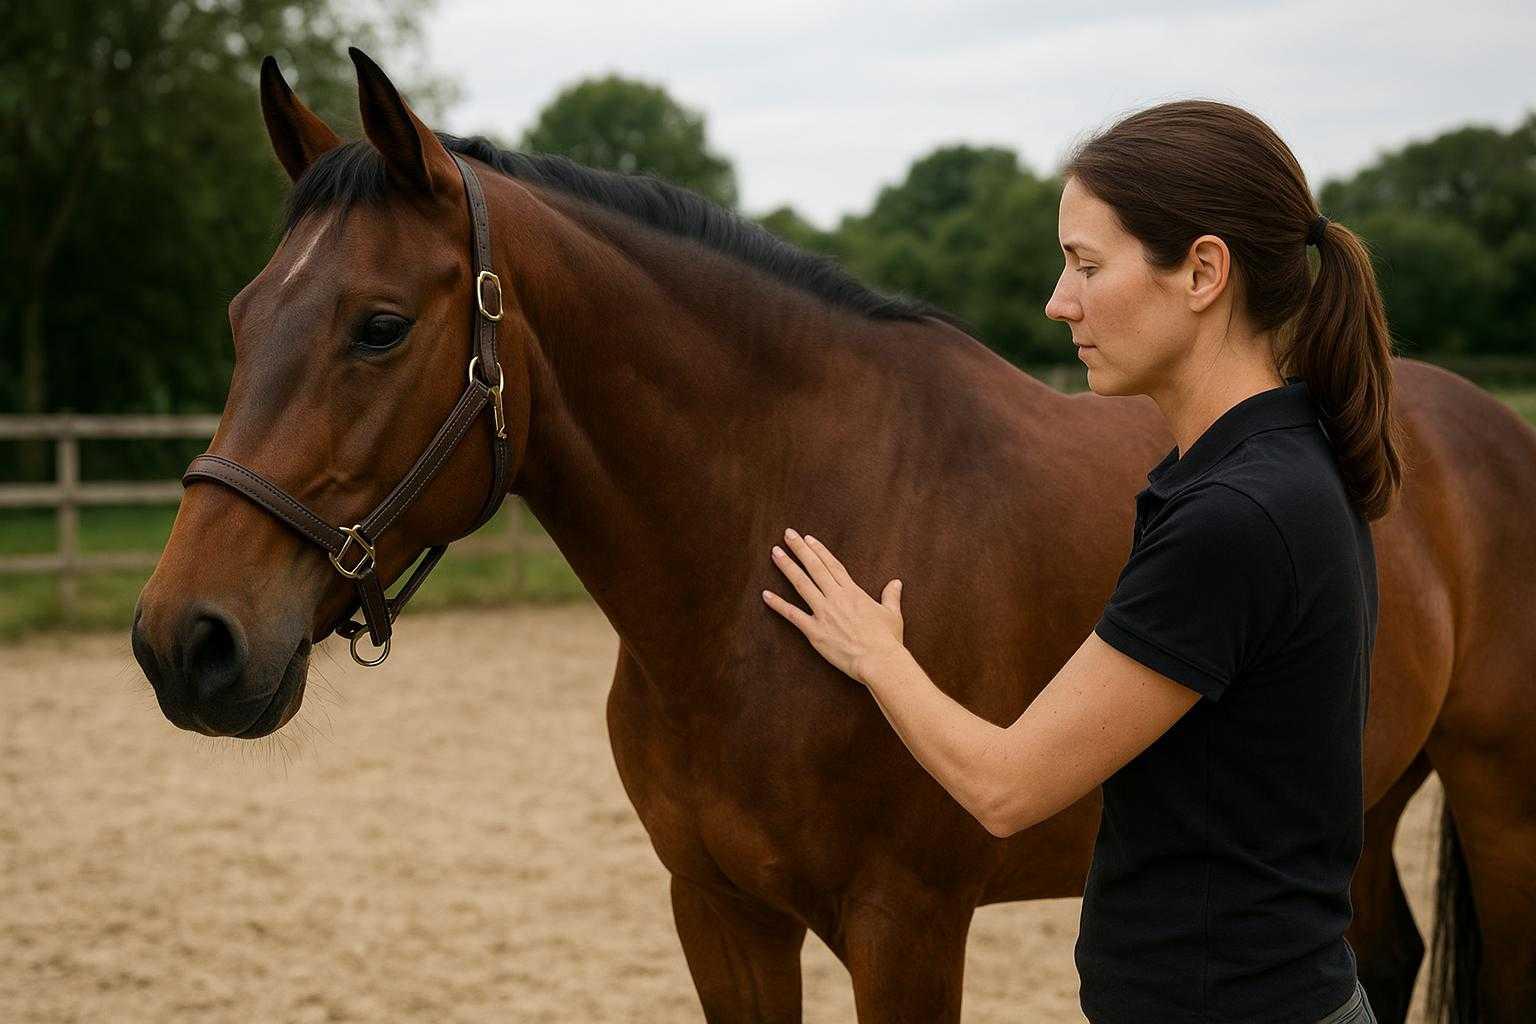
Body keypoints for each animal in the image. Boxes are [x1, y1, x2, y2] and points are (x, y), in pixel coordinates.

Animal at [131, 49, 1536, 1022]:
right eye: (244, 315)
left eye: (377, 326)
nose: (183, 642)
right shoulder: (721, 912)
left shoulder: (907, 925)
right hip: (1367, 795)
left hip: (1496, 795)